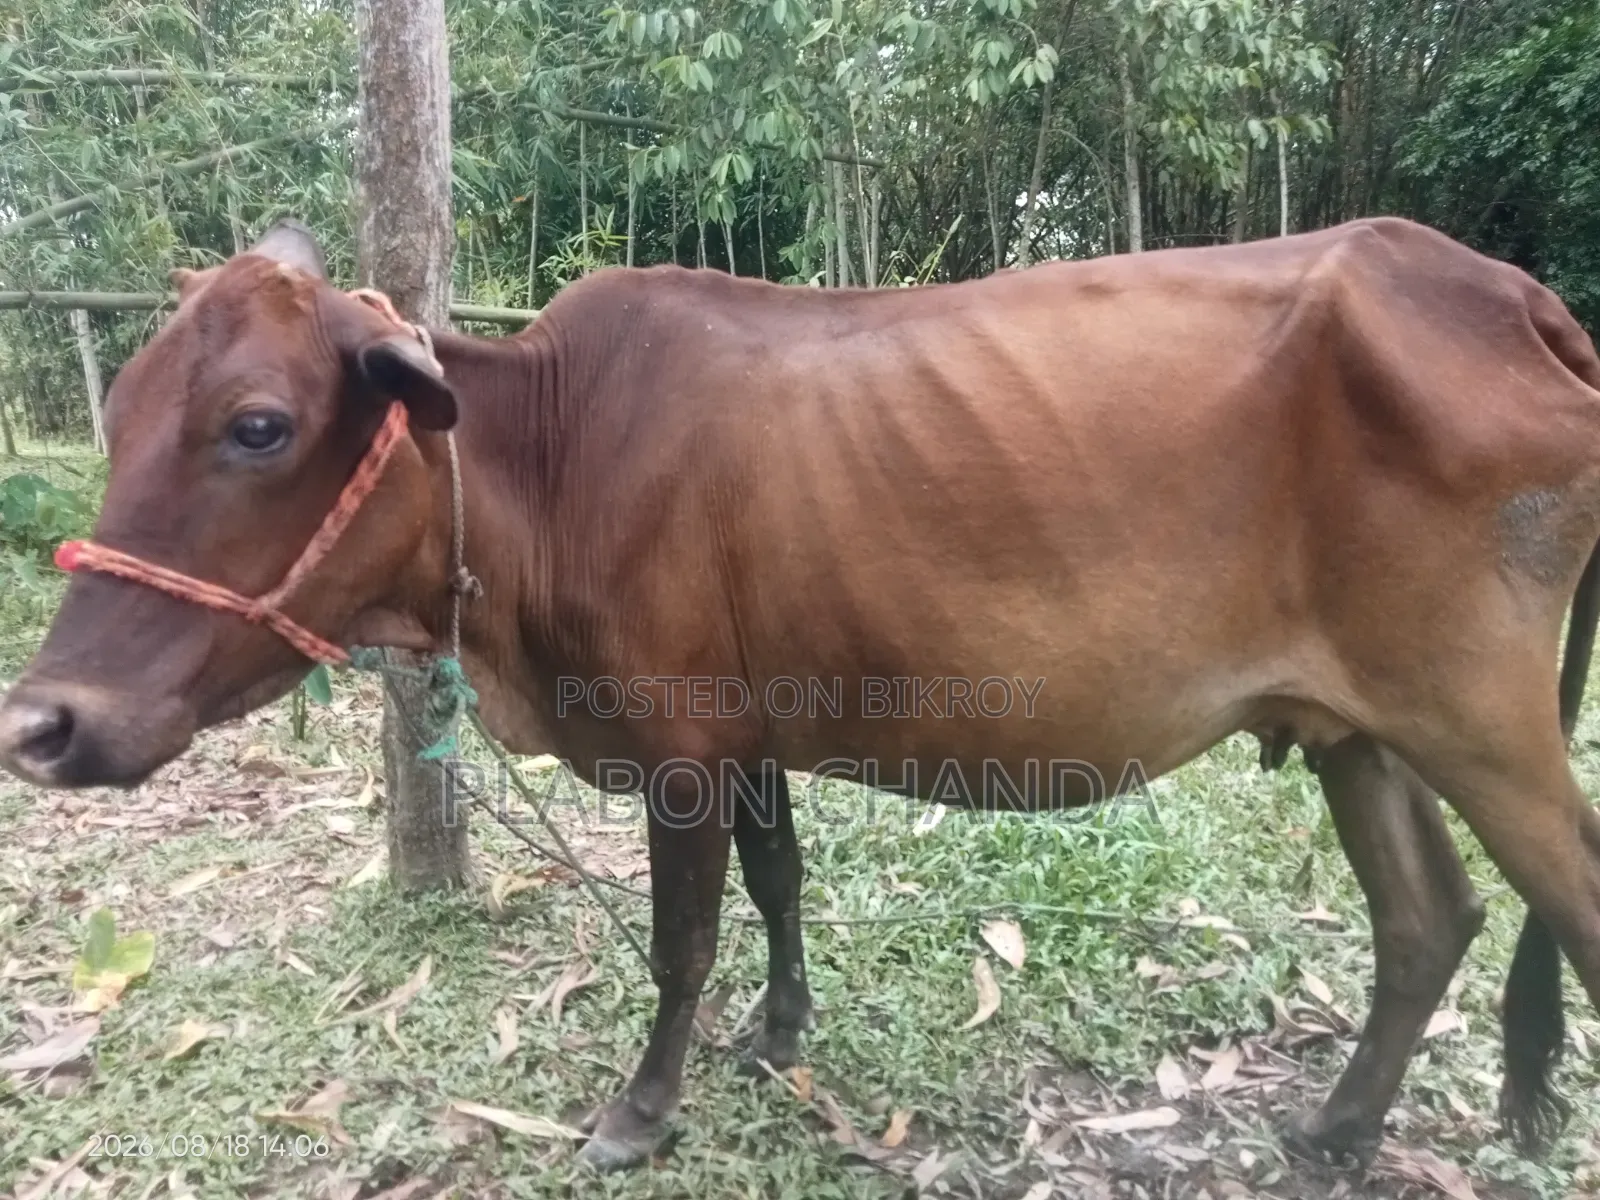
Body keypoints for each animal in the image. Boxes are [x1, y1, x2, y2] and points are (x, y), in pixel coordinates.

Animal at [1, 217, 1598, 1172]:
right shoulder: (749, 736)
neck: (546, 467)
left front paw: (641, 1112)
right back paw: (1334, 1133)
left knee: (1553, 909)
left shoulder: (679, 749)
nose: (42, 725)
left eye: (258, 426)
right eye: (121, 412)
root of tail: (1501, 290)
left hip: (1485, 723)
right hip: (1359, 728)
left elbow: (681, 944)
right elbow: (778, 883)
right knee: (1428, 920)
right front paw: (779, 1034)